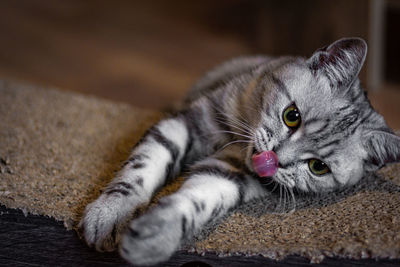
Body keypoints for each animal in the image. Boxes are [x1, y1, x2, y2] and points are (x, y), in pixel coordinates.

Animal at [78, 37, 400, 266]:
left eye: (318, 167)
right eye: (291, 116)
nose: (275, 160)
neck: (235, 145)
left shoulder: (226, 175)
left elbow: (194, 201)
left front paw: (155, 236)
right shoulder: (188, 123)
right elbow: (142, 167)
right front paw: (111, 214)